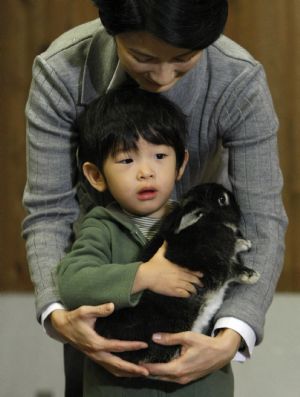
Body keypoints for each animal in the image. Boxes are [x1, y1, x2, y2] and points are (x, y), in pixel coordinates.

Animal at [95, 183, 258, 362]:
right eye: (222, 199)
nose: (240, 209)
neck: (207, 223)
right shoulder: (206, 264)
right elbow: (229, 268)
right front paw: (251, 275)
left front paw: (244, 243)